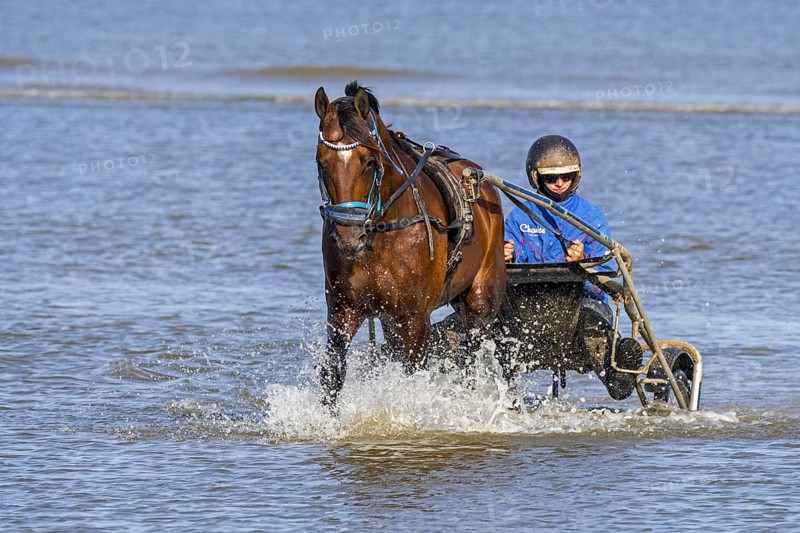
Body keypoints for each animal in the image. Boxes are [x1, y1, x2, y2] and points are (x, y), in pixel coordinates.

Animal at [314, 81, 506, 407]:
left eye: (369, 163)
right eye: (321, 164)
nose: (349, 238)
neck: (381, 232)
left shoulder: (414, 319)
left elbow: (412, 377)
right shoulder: (344, 309)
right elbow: (333, 376)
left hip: (481, 300)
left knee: (472, 355)